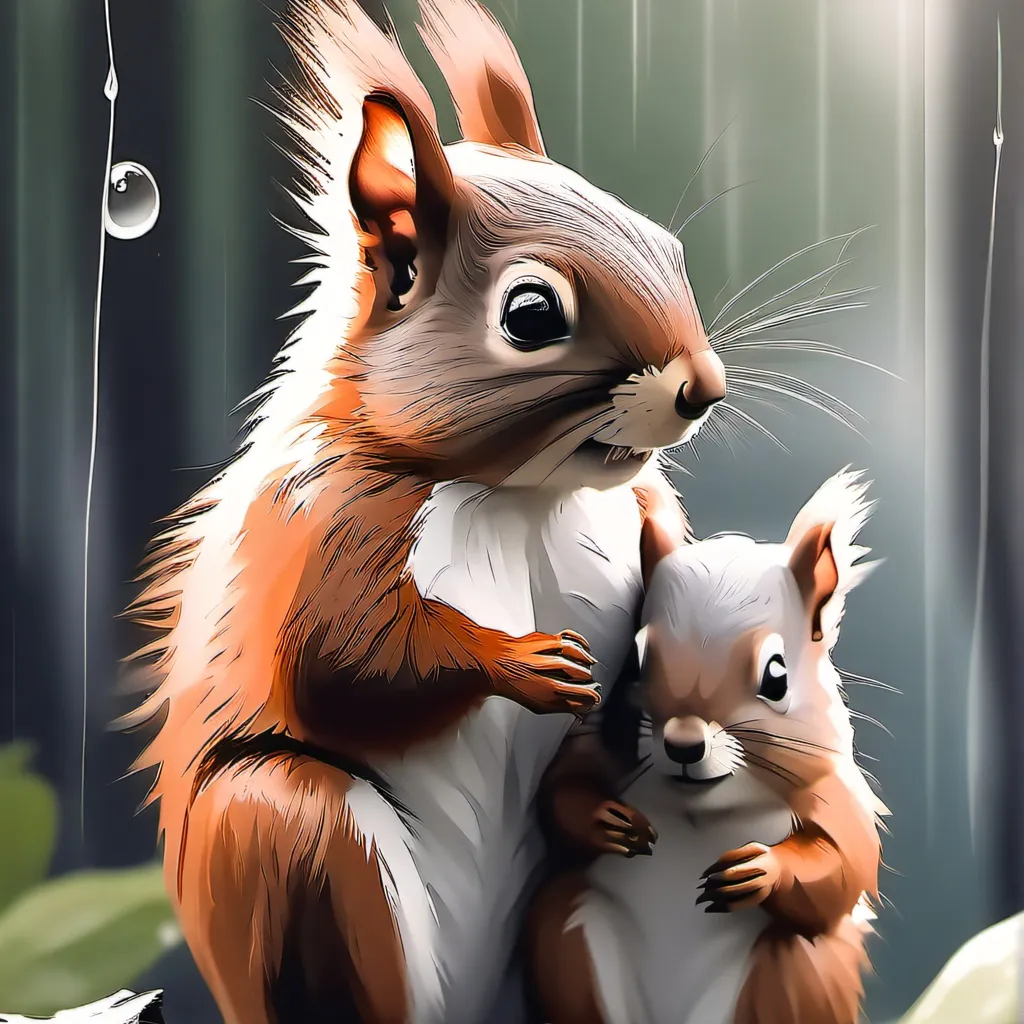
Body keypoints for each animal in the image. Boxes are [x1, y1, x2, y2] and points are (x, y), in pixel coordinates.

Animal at [119, 1, 726, 1023]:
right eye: (531, 315)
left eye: (669, 249)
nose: (703, 389)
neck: (526, 497)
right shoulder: (326, 527)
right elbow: (344, 660)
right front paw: (521, 662)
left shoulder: (638, 513)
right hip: (292, 838)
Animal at [527, 469, 888, 1024]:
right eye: (634, 662)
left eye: (777, 678)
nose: (682, 743)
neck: (699, 809)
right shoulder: (604, 752)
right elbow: (559, 792)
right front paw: (608, 821)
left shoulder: (834, 794)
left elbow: (844, 865)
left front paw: (759, 870)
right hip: (568, 938)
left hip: (789, 977)